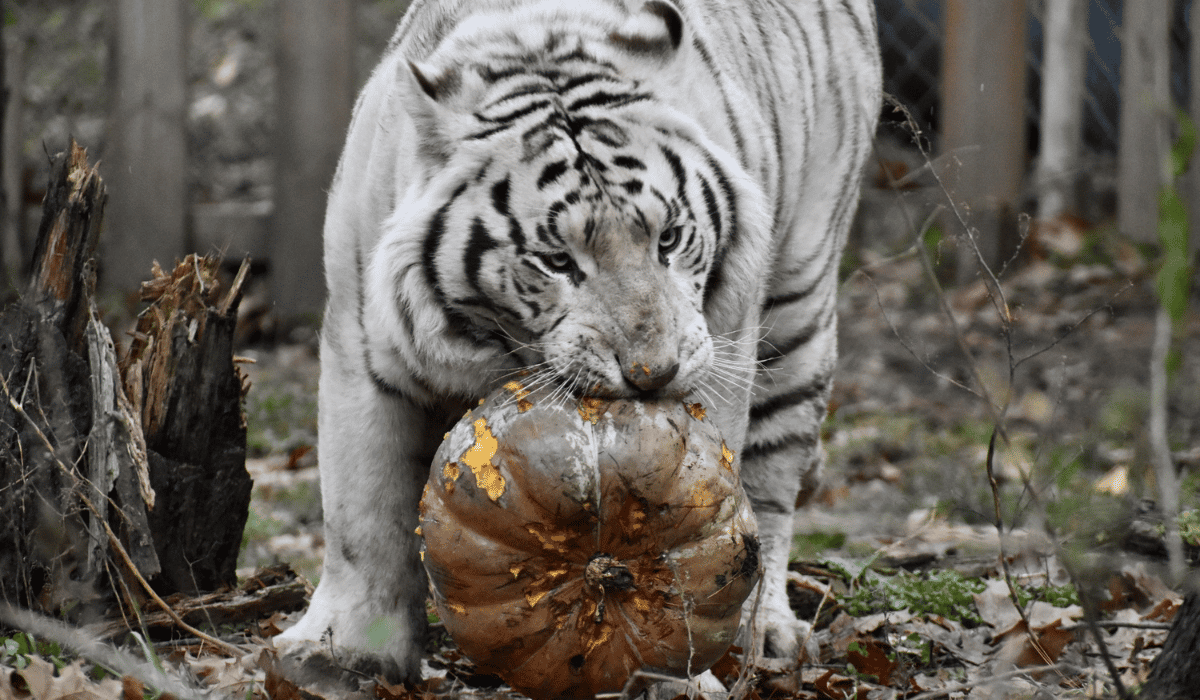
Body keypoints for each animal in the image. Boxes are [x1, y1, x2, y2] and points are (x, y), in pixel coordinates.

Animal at [276, 0, 881, 685]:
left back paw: (768, 632)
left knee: (774, 490)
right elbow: (362, 514)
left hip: (802, 297)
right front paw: (345, 654)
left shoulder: (723, 344)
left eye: (670, 238)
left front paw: (683, 674)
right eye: (557, 261)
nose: (654, 373)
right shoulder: (362, 345)